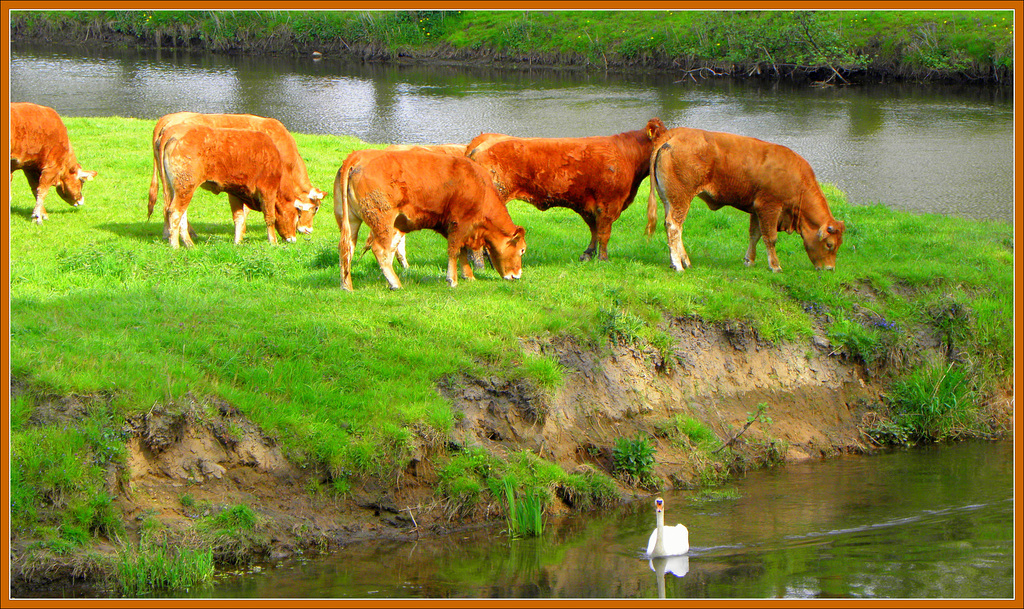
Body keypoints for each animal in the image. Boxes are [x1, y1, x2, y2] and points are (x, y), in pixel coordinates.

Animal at [147, 111, 323, 244]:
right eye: (315, 209)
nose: (308, 230)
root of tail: (167, 120)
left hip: (171, 184)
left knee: (170, 207)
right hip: (185, 185)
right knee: (174, 210)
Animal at [335, 147, 528, 290]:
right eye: (522, 250)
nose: (518, 275)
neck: (480, 186)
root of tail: (359, 155)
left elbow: (462, 251)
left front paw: (469, 276)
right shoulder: (459, 222)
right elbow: (454, 250)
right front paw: (453, 280)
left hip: (350, 219)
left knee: (347, 247)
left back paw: (347, 286)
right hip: (382, 219)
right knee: (380, 250)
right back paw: (395, 284)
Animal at [466, 118, 671, 262]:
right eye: (666, 140)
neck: (627, 156)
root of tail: (482, 140)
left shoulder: (588, 204)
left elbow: (594, 229)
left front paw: (588, 254)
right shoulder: (608, 203)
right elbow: (604, 232)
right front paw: (603, 258)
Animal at [647, 127, 847, 272]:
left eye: (839, 245)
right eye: (829, 244)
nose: (830, 269)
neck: (798, 180)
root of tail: (674, 133)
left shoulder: (756, 209)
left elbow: (755, 235)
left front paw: (749, 260)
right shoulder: (769, 208)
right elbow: (770, 238)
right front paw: (775, 266)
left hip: (670, 201)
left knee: (673, 226)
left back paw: (683, 261)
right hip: (681, 199)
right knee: (674, 226)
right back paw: (678, 265)